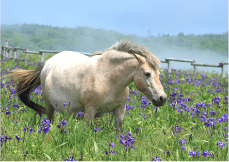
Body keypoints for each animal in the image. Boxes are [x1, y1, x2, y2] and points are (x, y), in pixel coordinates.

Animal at [7, 39, 167, 132]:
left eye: (158, 73)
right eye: (147, 73)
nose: (162, 98)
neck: (108, 78)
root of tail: (47, 63)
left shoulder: (120, 110)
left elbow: (119, 131)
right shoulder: (90, 111)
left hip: (68, 109)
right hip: (49, 105)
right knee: (50, 120)